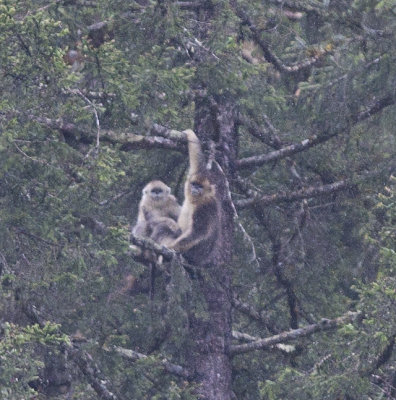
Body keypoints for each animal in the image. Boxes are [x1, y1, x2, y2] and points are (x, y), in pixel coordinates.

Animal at [169, 129, 221, 266]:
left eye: (200, 187)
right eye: (194, 184)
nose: (195, 189)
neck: (197, 200)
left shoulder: (205, 208)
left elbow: (197, 233)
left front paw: (169, 246)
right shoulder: (196, 173)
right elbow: (197, 160)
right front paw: (188, 133)